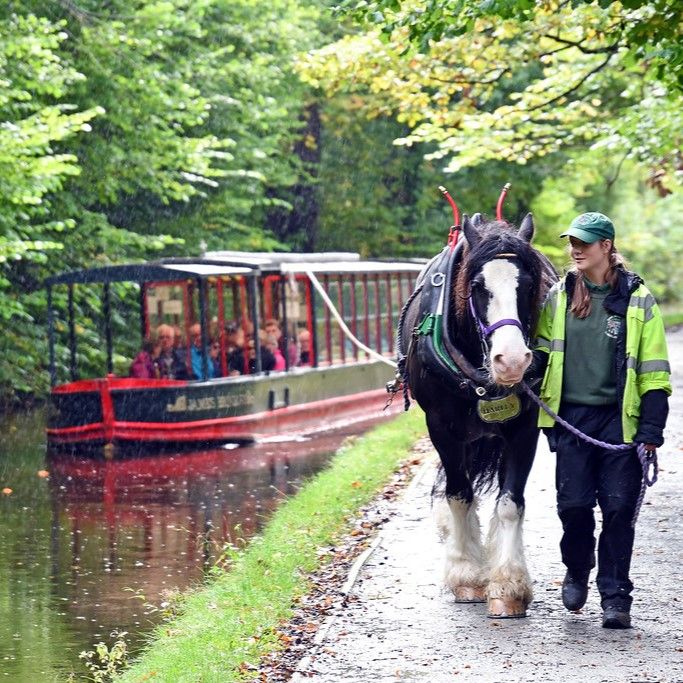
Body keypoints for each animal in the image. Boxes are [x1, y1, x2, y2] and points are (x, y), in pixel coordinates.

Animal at [398, 212, 557, 618]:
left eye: (528, 285)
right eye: (477, 286)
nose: (512, 360)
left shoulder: (524, 429)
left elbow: (510, 503)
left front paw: (508, 585)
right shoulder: (442, 428)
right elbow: (459, 494)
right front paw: (467, 575)